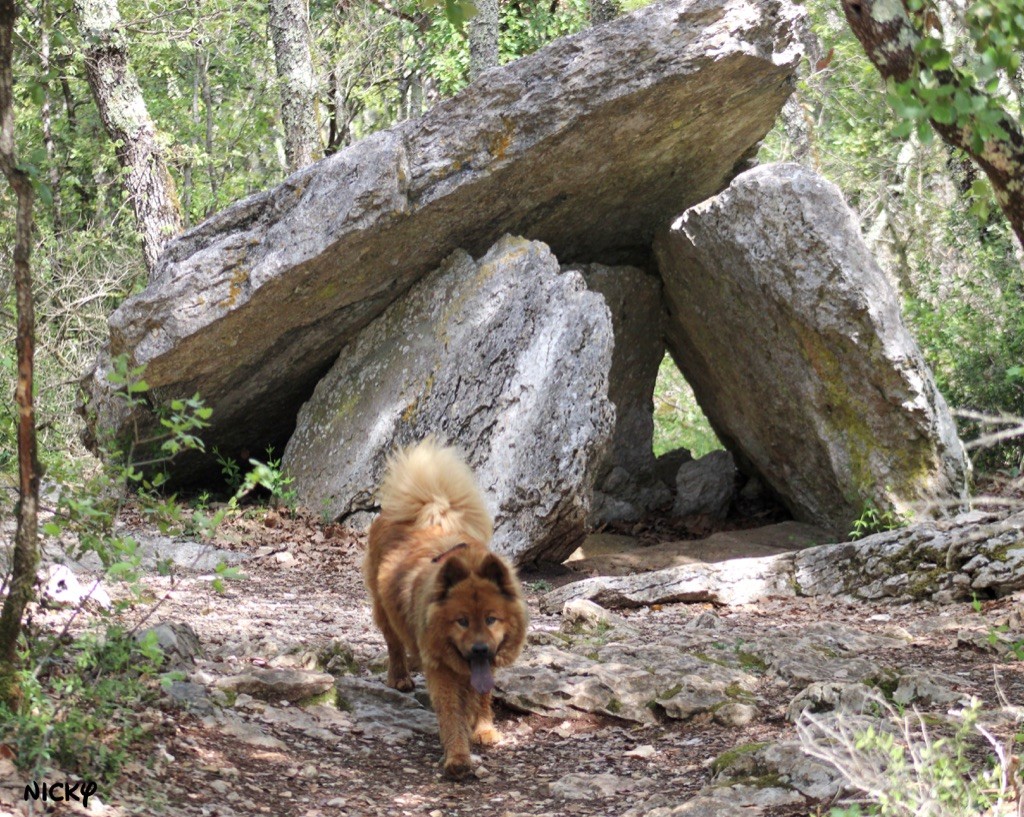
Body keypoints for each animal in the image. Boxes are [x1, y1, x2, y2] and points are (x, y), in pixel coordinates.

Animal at [364, 442, 528, 782]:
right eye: (461, 621)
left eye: (491, 619)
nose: (479, 648)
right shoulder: (441, 671)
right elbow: (451, 714)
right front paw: (458, 757)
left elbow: (481, 696)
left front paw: (483, 728)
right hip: (383, 609)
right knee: (394, 643)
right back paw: (400, 677)